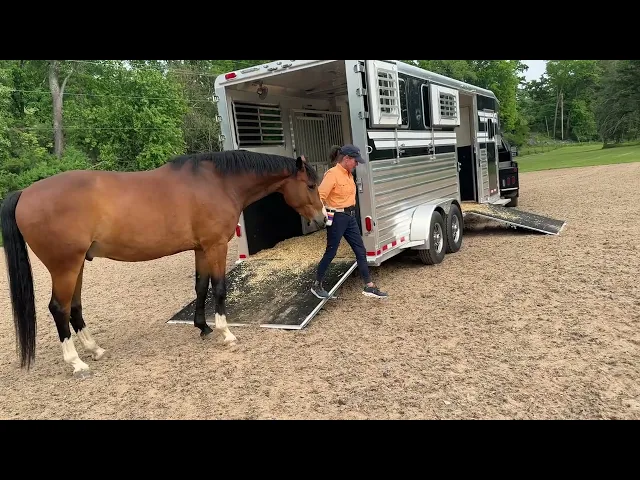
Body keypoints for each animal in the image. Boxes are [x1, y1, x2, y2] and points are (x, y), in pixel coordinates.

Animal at [1, 150, 327, 379]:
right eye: (311, 185)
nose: (323, 218)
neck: (217, 183)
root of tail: (25, 193)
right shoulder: (216, 246)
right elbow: (219, 288)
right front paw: (226, 333)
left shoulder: (201, 248)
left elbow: (201, 286)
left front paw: (203, 327)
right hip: (64, 267)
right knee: (59, 308)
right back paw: (77, 363)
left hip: (78, 264)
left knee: (74, 307)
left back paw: (95, 349)